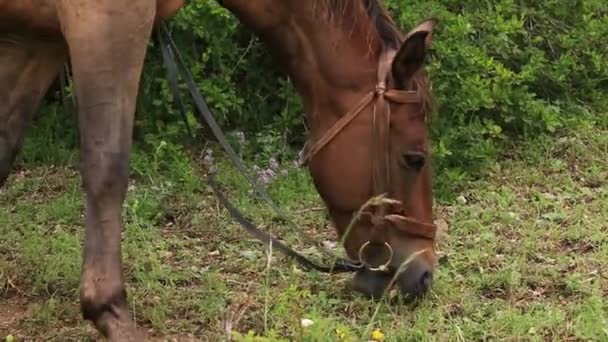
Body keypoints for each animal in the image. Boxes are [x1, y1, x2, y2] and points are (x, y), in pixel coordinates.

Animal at [0, 0, 436, 338]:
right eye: (414, 158)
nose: (424, 274)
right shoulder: (106, 23)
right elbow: (107, 168)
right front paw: (109, 311)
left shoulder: (37, 40)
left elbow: (5, 150)